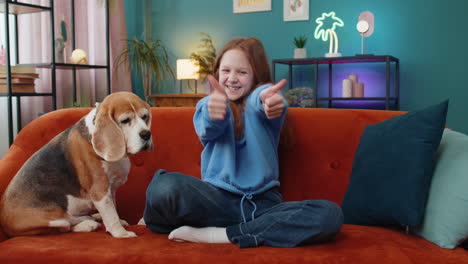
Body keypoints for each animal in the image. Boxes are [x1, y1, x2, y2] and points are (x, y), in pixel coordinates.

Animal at [0, 92, 152, 238]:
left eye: (144, 117)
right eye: (125, 120)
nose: (146, 134)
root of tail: (5, 223)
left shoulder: (111, 188)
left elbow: (113, 208)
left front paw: (119, 222)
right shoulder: (100, 190)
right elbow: (111, 214)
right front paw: (121, 233)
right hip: (51, 218)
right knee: (66, 225)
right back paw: (88, 222)